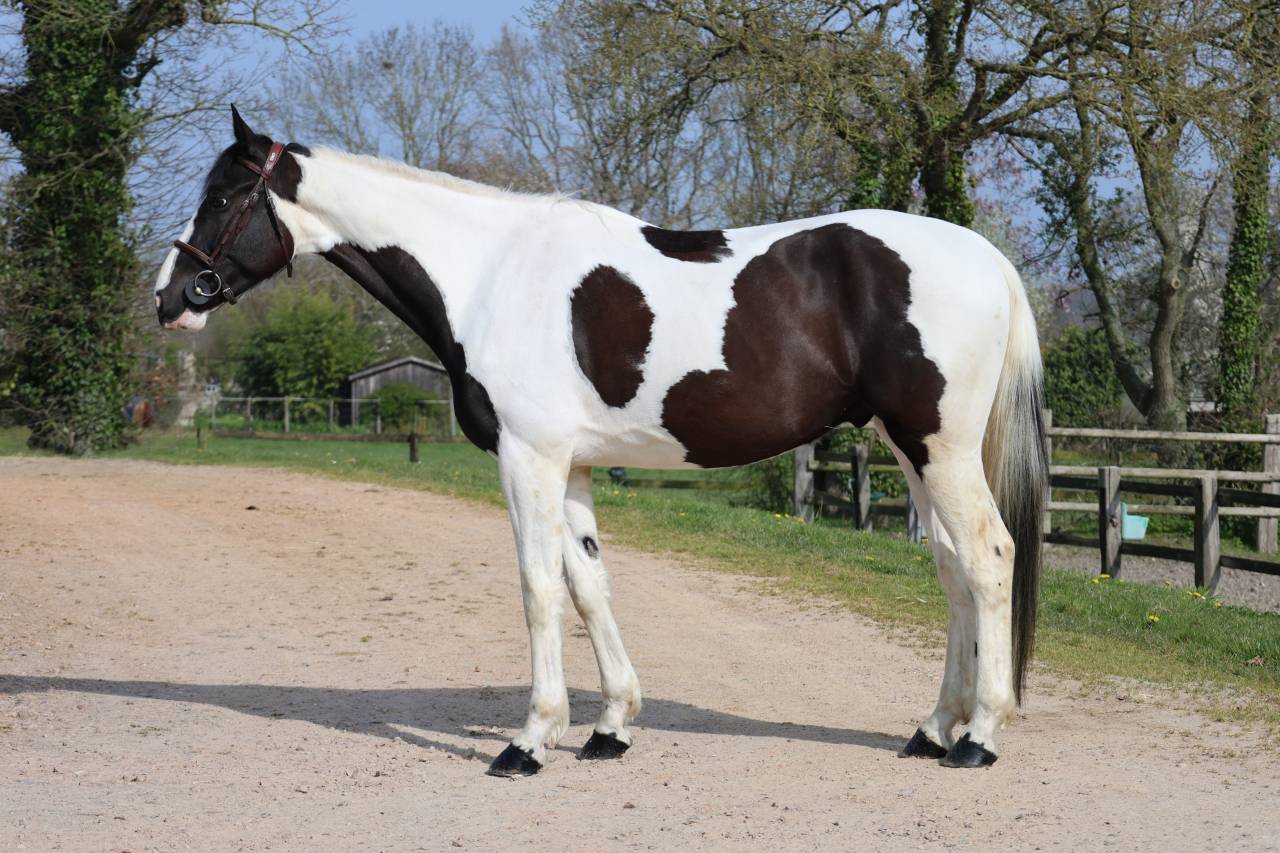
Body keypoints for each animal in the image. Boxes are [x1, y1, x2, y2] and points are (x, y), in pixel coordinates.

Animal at [155, 107, 1047, 776]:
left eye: (225, 195)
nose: (169, 298)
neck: (487, 274)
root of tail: (987, 257)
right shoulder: (573, 464)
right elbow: (588, 586)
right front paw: (609, 725)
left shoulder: (528, 458)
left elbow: (537, 588)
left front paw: (528, 740)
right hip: (910, 447)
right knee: (952, 568)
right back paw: (933, 727)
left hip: (938, 447)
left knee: (988, 556)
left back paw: (978, 736)